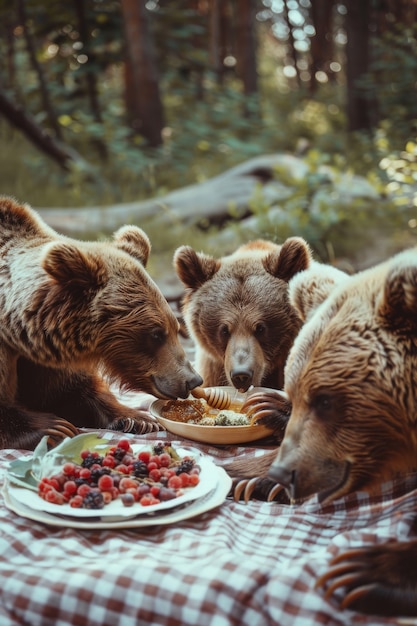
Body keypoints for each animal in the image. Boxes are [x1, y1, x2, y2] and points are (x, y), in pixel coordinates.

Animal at [0, 195, 202, 448]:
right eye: (156, 333)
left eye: (176, 327)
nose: (192, 380)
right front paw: (55, 428)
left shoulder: (46, 357)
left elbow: (70, 390)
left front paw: (139, 419)